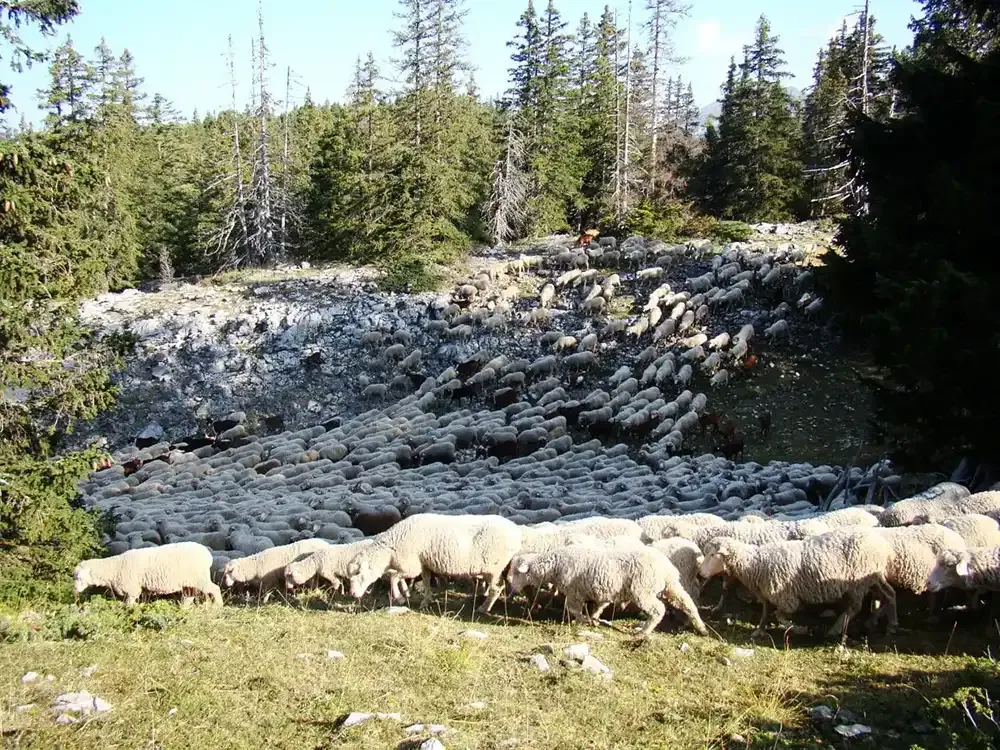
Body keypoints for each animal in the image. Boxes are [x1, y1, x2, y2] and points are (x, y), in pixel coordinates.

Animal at [74, 542, 222, 607]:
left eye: (79, 577)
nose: (75, 590)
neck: (114, 568)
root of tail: (207, 554)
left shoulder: (132, 590)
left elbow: (128, 605)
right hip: (189, 582)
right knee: (189, 596)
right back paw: (183, 609)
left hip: (199, 578)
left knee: (215, 589)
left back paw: (218, 606)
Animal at [345, 513, 523, 612]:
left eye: (359, 574)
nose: (352, 594)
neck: (390, 549)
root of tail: (516, 532)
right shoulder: (423, 564)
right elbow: (424, 581)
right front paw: (423, 600)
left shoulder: (411, 564)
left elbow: (394, 578)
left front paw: (399, 597)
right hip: (501, 567)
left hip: (494, 567)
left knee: (496, 588)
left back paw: (484, 608)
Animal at [507, 545, 707, 635]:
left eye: (517, 572)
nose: (511, 587)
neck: (555, 566)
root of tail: (666, 567)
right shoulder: (599, 591)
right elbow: (600, 605)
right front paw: (593, 618)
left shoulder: (574, 592)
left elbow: (573, 609)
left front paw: (583, 620)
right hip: (672, 586)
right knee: (687, 603)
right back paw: (701, 627)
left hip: (642, 589)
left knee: (658, 610)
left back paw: (644, 631)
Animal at [699, 530, 896, 640]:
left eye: (713, 555)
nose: (700, 573)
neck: (756, 564)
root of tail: (882, 545)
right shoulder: (767, 594)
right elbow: (765, 613)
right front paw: (760, 631)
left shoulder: (786, 598)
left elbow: (780, 615)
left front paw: (799, 629)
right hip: (873, 579)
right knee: (889, 594)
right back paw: (889, 624)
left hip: (858, 585)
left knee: (855, 608)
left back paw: (836, 629)